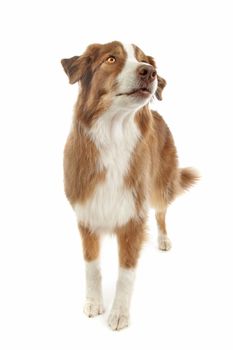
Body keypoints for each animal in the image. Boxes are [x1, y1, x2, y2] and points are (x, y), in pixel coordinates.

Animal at [60, 41, 198, 330]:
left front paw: (119, 314)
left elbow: (126, 273)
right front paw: (94, 302)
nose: (150, 72)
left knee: (162, 213)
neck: (113, 135)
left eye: (143, 59)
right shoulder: (87, 213)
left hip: (160, 185)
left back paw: (164, 239)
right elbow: (92, 266)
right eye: (111, 59)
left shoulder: (134, 216)